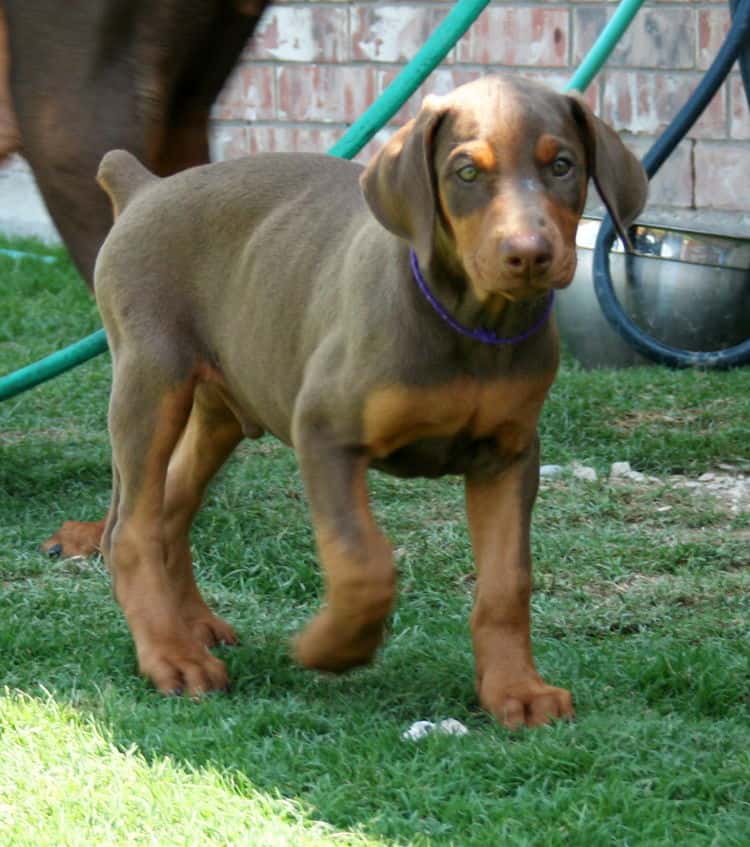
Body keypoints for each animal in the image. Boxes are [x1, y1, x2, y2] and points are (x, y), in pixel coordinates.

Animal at [94, 76, 648, 732]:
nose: (530, 254)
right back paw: (171, 657)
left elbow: (507, 582)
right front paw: (332, 647)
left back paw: (192, 628)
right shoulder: (326, 433)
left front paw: (517, 688)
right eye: (466, 172)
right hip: (152, 382)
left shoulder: (510, 456)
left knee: (169, 509)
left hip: (220, 410)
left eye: (562, 165)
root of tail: (146, 187)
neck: (472, 323)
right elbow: (364, 561)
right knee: (130, 530)